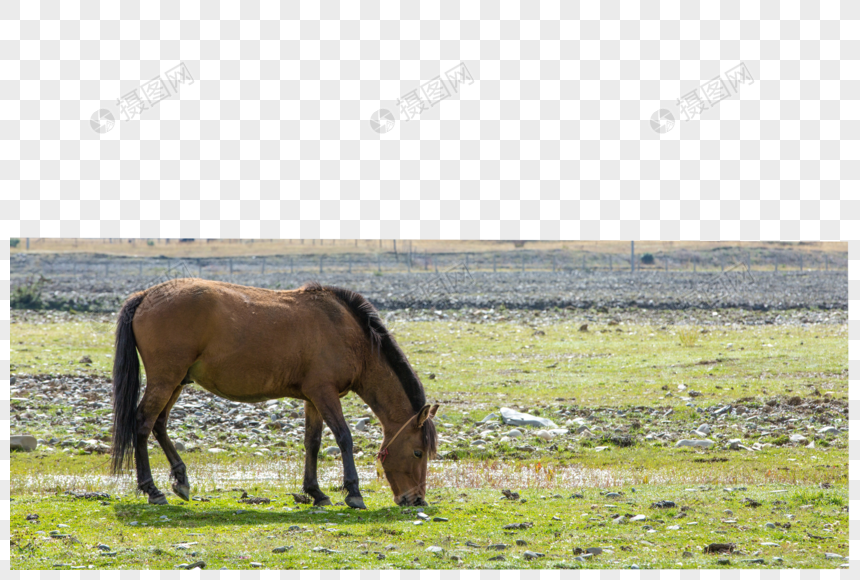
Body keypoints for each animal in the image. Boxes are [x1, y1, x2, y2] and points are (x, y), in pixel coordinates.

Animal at [112, 278, 436, 510]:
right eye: (417, 452)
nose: (416, 499)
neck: (349, 333)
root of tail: (145, 296)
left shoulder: (313, 398)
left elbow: (312, 443)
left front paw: (316, 493)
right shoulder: (325, 394)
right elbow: (344, 437)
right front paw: (353, 492)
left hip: (177, 382)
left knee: (158, 424)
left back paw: (180, 480)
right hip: (165, 380)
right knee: (142, 424)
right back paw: (152, 489)